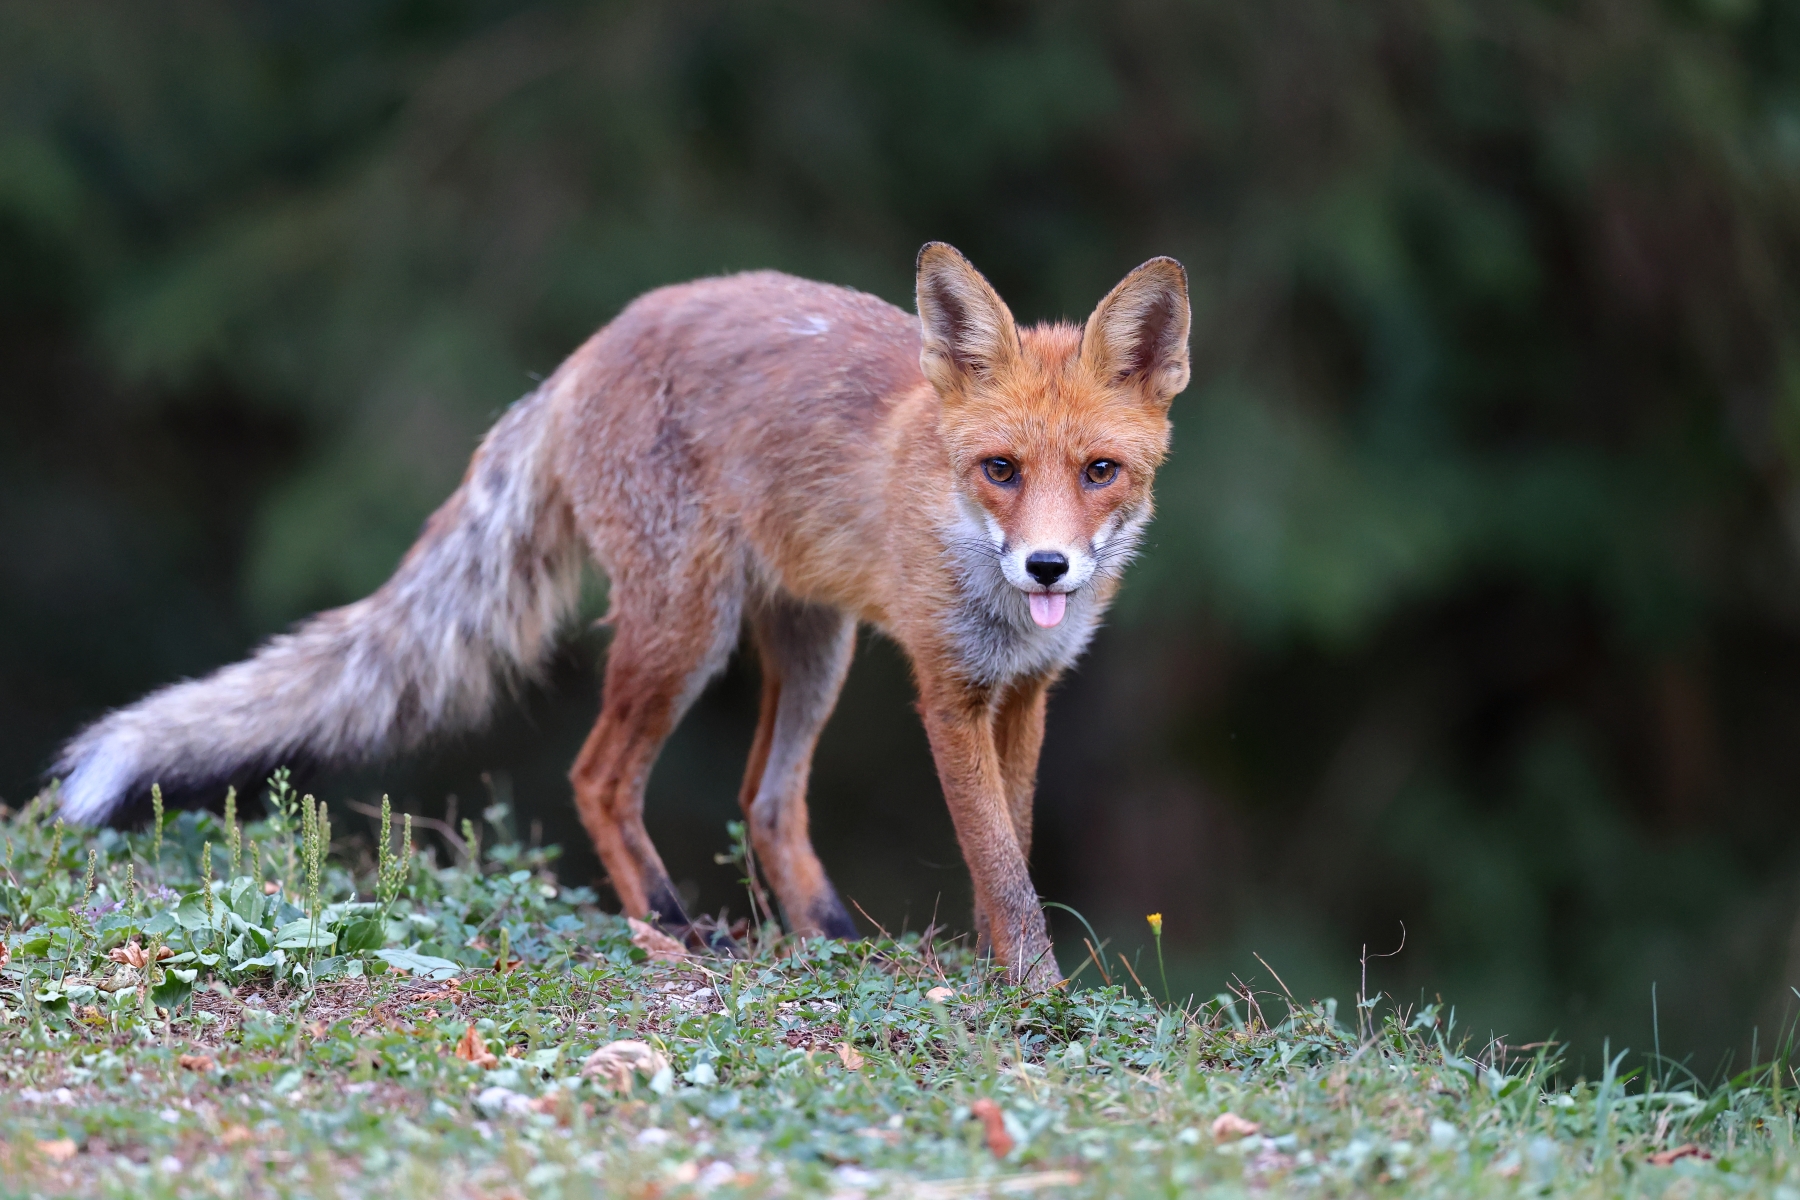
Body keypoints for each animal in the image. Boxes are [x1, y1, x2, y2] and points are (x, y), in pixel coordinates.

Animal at [51, 243, 1189, 986]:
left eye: (1100, 472)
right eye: (1000, 470)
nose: (1047, 567)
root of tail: (581, 355)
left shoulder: (1024, 694)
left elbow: (1016, 844)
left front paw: (1010, 973)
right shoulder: (947, 693)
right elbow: (999, 861)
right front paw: (1033, 995)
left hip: (811, 647)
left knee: (765, 800)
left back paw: (826, 938)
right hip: (686, 630)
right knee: (600, 776)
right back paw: (674, 926)